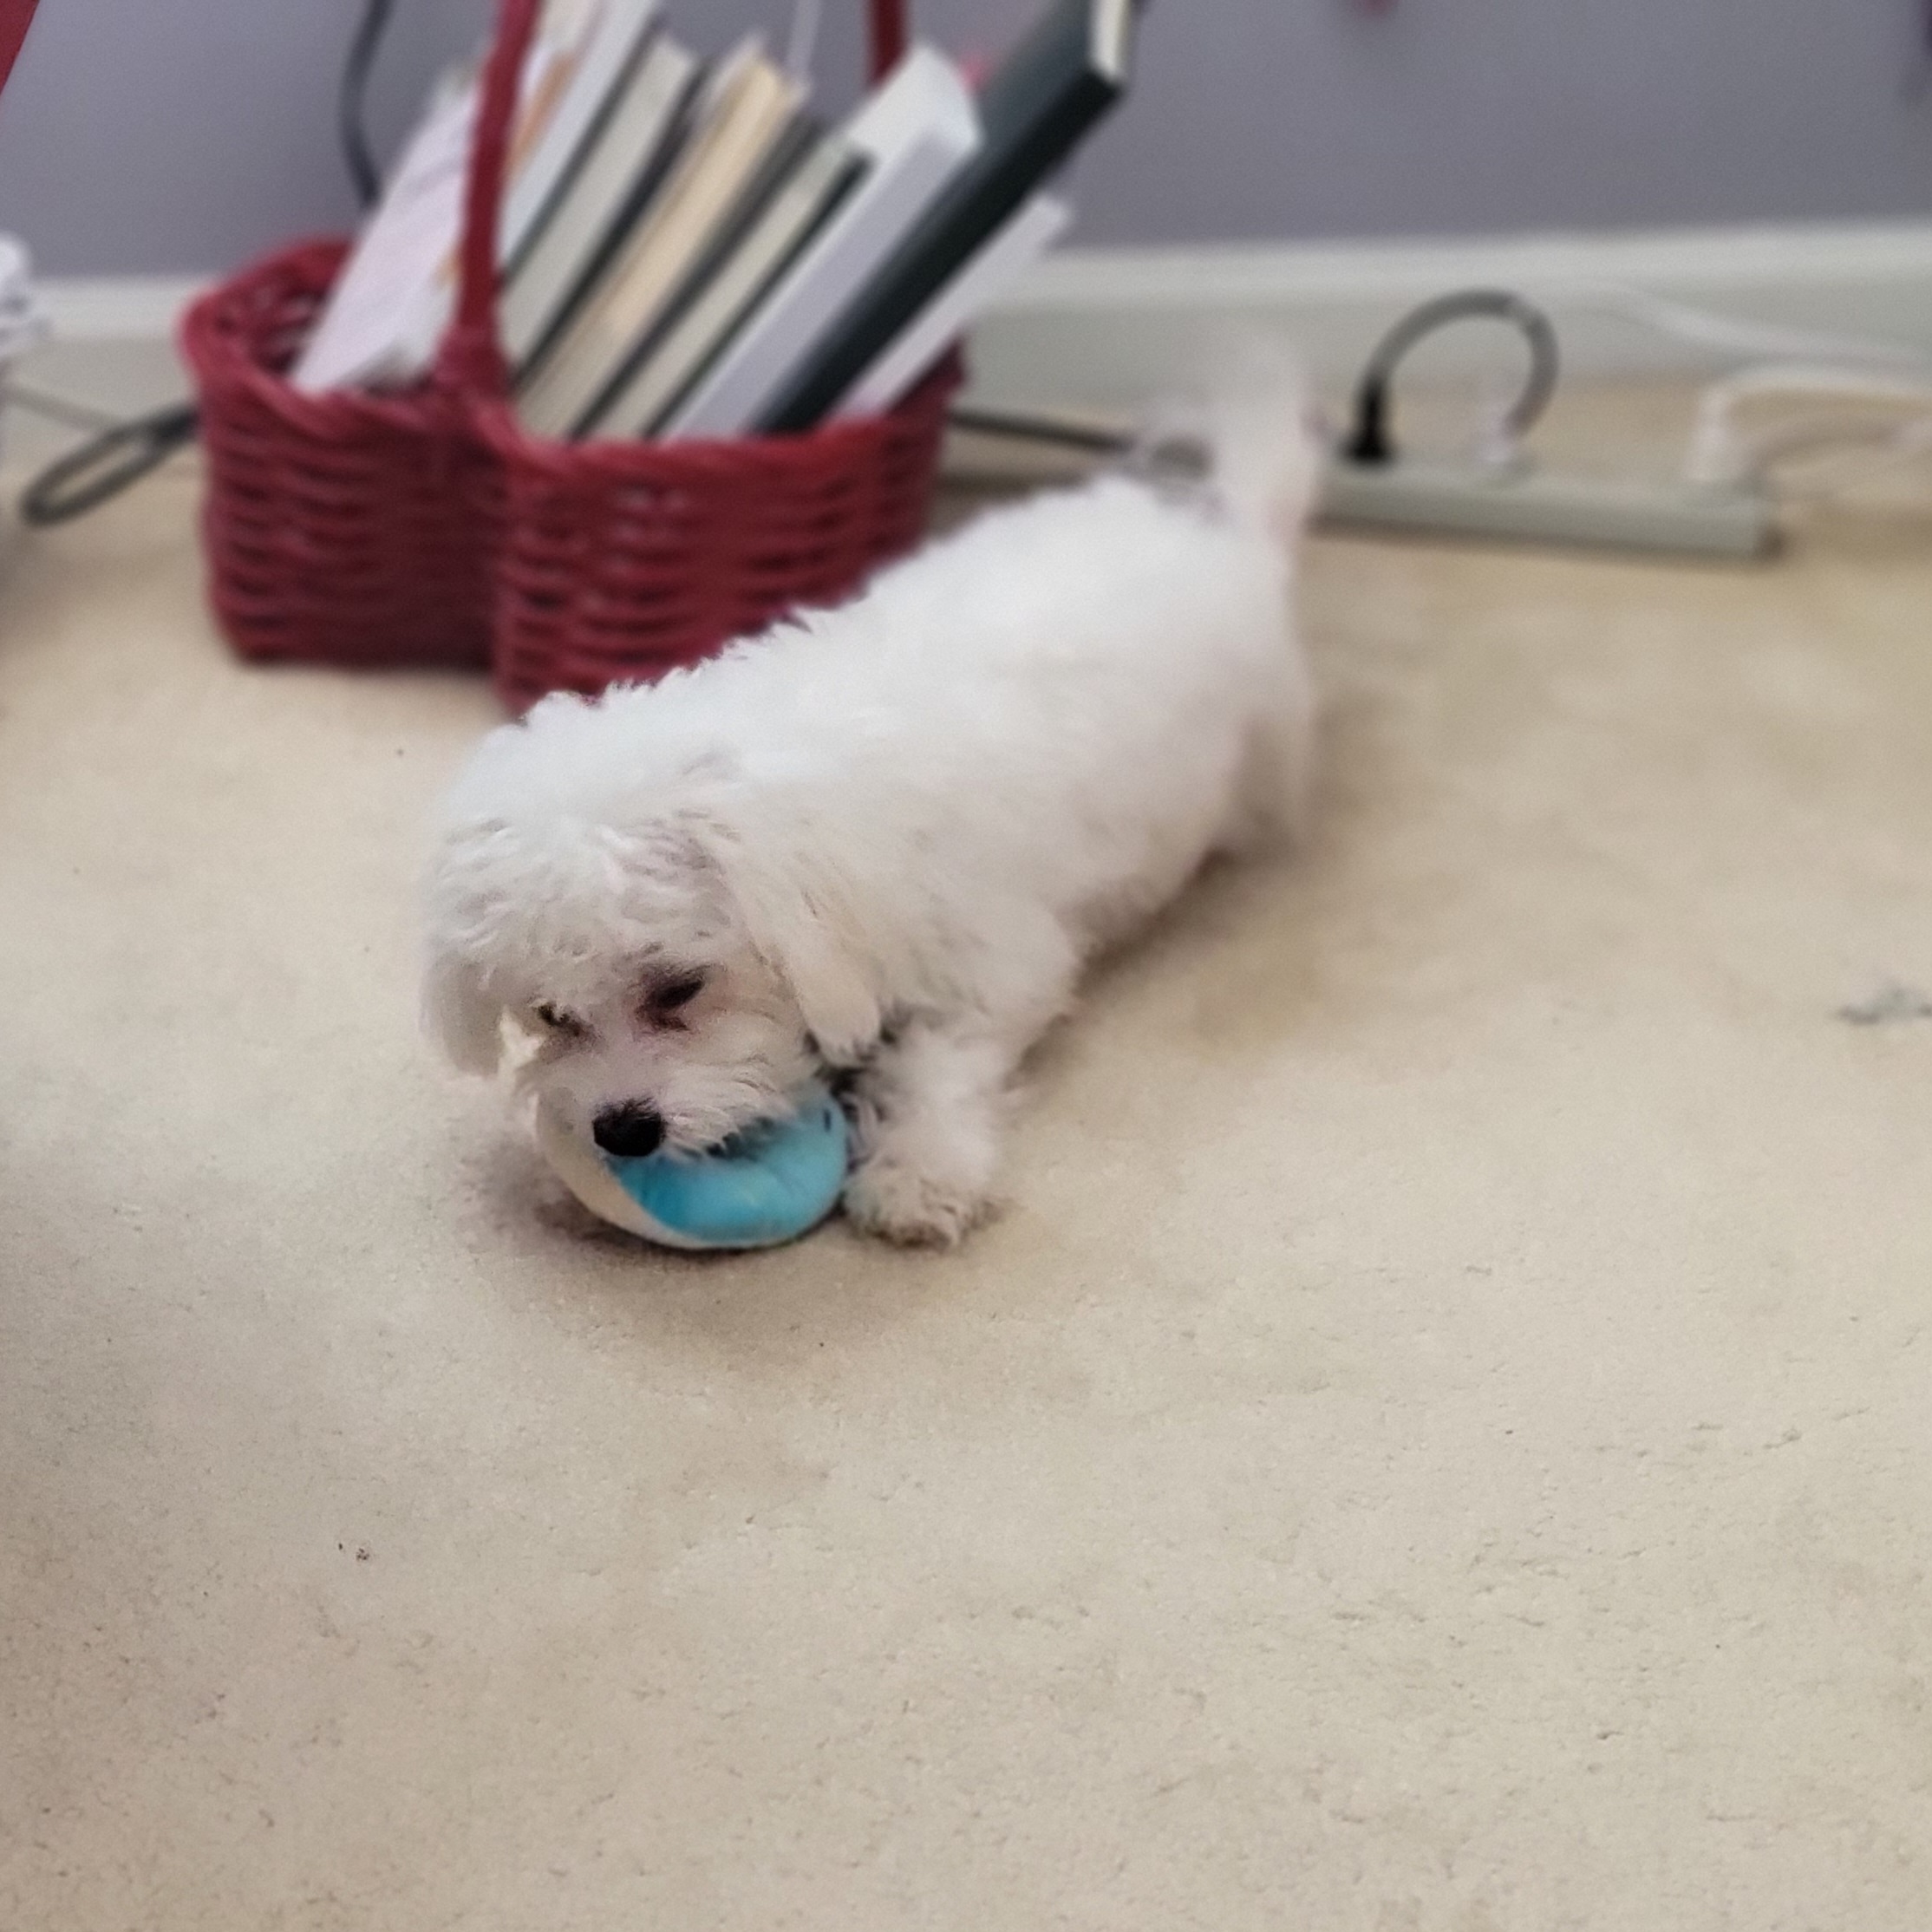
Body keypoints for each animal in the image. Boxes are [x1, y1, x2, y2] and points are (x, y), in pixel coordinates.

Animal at [422, 371, 1318, 1245]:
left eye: (680, 988)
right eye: (549, 1012)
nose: (621, 1131)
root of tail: (1229, 529)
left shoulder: (997, 964)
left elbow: (938, 1063)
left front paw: (921, 1169)